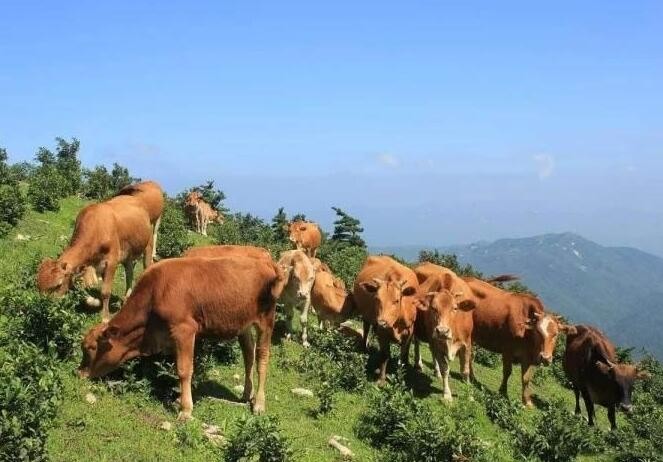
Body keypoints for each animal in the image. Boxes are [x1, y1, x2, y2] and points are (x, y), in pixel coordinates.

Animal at [37, 191, 156, 322]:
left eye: (58, 285)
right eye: (38, 284)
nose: (44, 308)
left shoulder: (111, 261)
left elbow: (105, 291)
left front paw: (105, 317)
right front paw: (94, 302)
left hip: (148, 246)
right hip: (128, 254)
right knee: (129, 273)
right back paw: (126, 299)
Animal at [78, 256, 286, 418]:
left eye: (91, 348)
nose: (79, 372)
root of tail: (267, 261)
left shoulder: (184, 330)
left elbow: (184, 369)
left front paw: (185, 409)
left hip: (266, 321)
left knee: (262, 359)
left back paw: (259, 404)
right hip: (243, 323)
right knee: (249, 355)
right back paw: (246, 393)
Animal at [410, 266, 478, 402]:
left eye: (455, 308)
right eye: (433, 308)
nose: (442, 331)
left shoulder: (467, 344)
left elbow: (465, 371)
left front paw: (470, 395)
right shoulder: (437, 343)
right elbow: (445, 368)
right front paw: (447, 394)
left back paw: (436, 372)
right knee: (418, 344)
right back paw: (419, 364)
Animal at [462, 276, 576, 406]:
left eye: (556, 334)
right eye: (538, 331)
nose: (545, 358)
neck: (527, 336)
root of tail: (467, 278)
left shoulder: (530, 357)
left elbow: (526, 379)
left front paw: (527, 401)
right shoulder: (507, 350)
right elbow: (507, 372)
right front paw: (503, 392)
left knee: (470, 354)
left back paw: (472, 376)